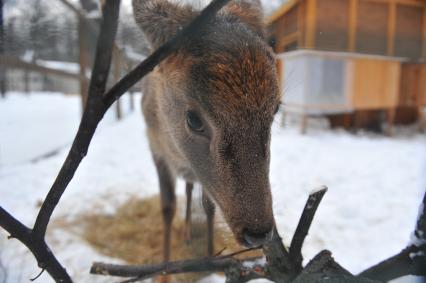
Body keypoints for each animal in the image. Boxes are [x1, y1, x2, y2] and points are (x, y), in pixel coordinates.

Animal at [132, 0, 280, 266]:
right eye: (193, 119)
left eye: (276, 108)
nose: (258, 232)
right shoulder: (155, 148)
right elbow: (167, 208)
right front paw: (164, 268)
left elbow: (209, 207)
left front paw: (210, 256)